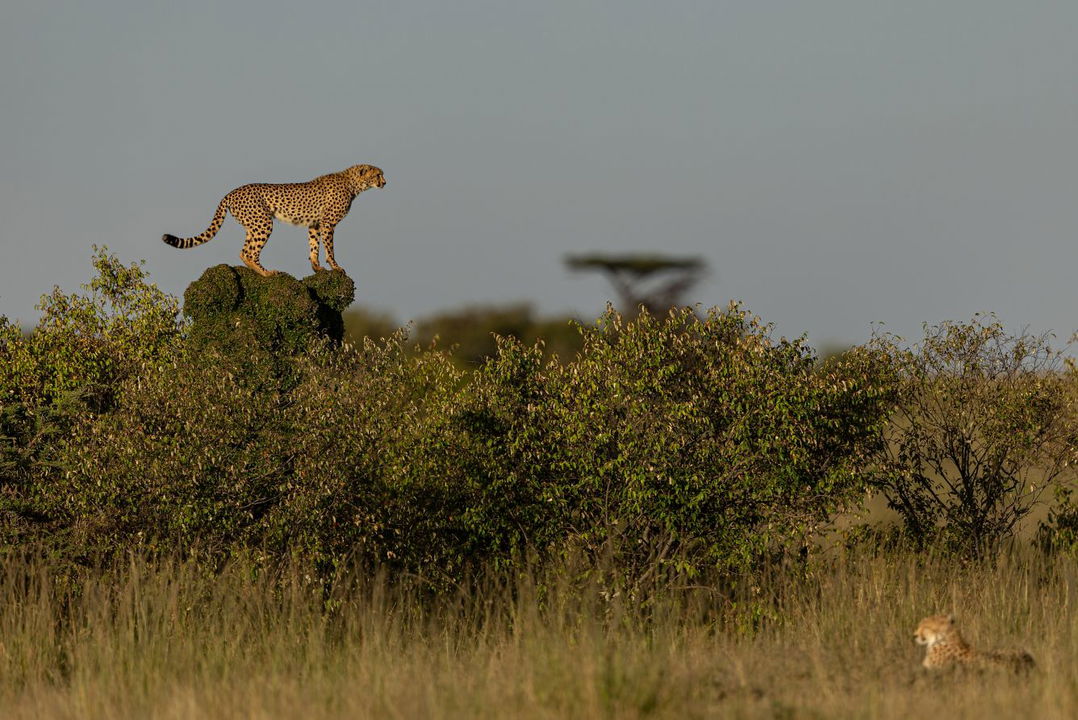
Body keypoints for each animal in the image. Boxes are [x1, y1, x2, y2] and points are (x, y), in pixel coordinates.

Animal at [162, 164, 386, 277]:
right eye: (378, 175)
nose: (385, 182)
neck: (353, 184)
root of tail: (231, 192)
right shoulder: (328, 223)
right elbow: (330, 248)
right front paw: (336, 267)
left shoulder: (315, 224)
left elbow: (313, 246)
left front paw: (316, 267)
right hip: (263, 223)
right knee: (251, 252)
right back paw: (267, 273)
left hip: (253, 225)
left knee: (244, 251)